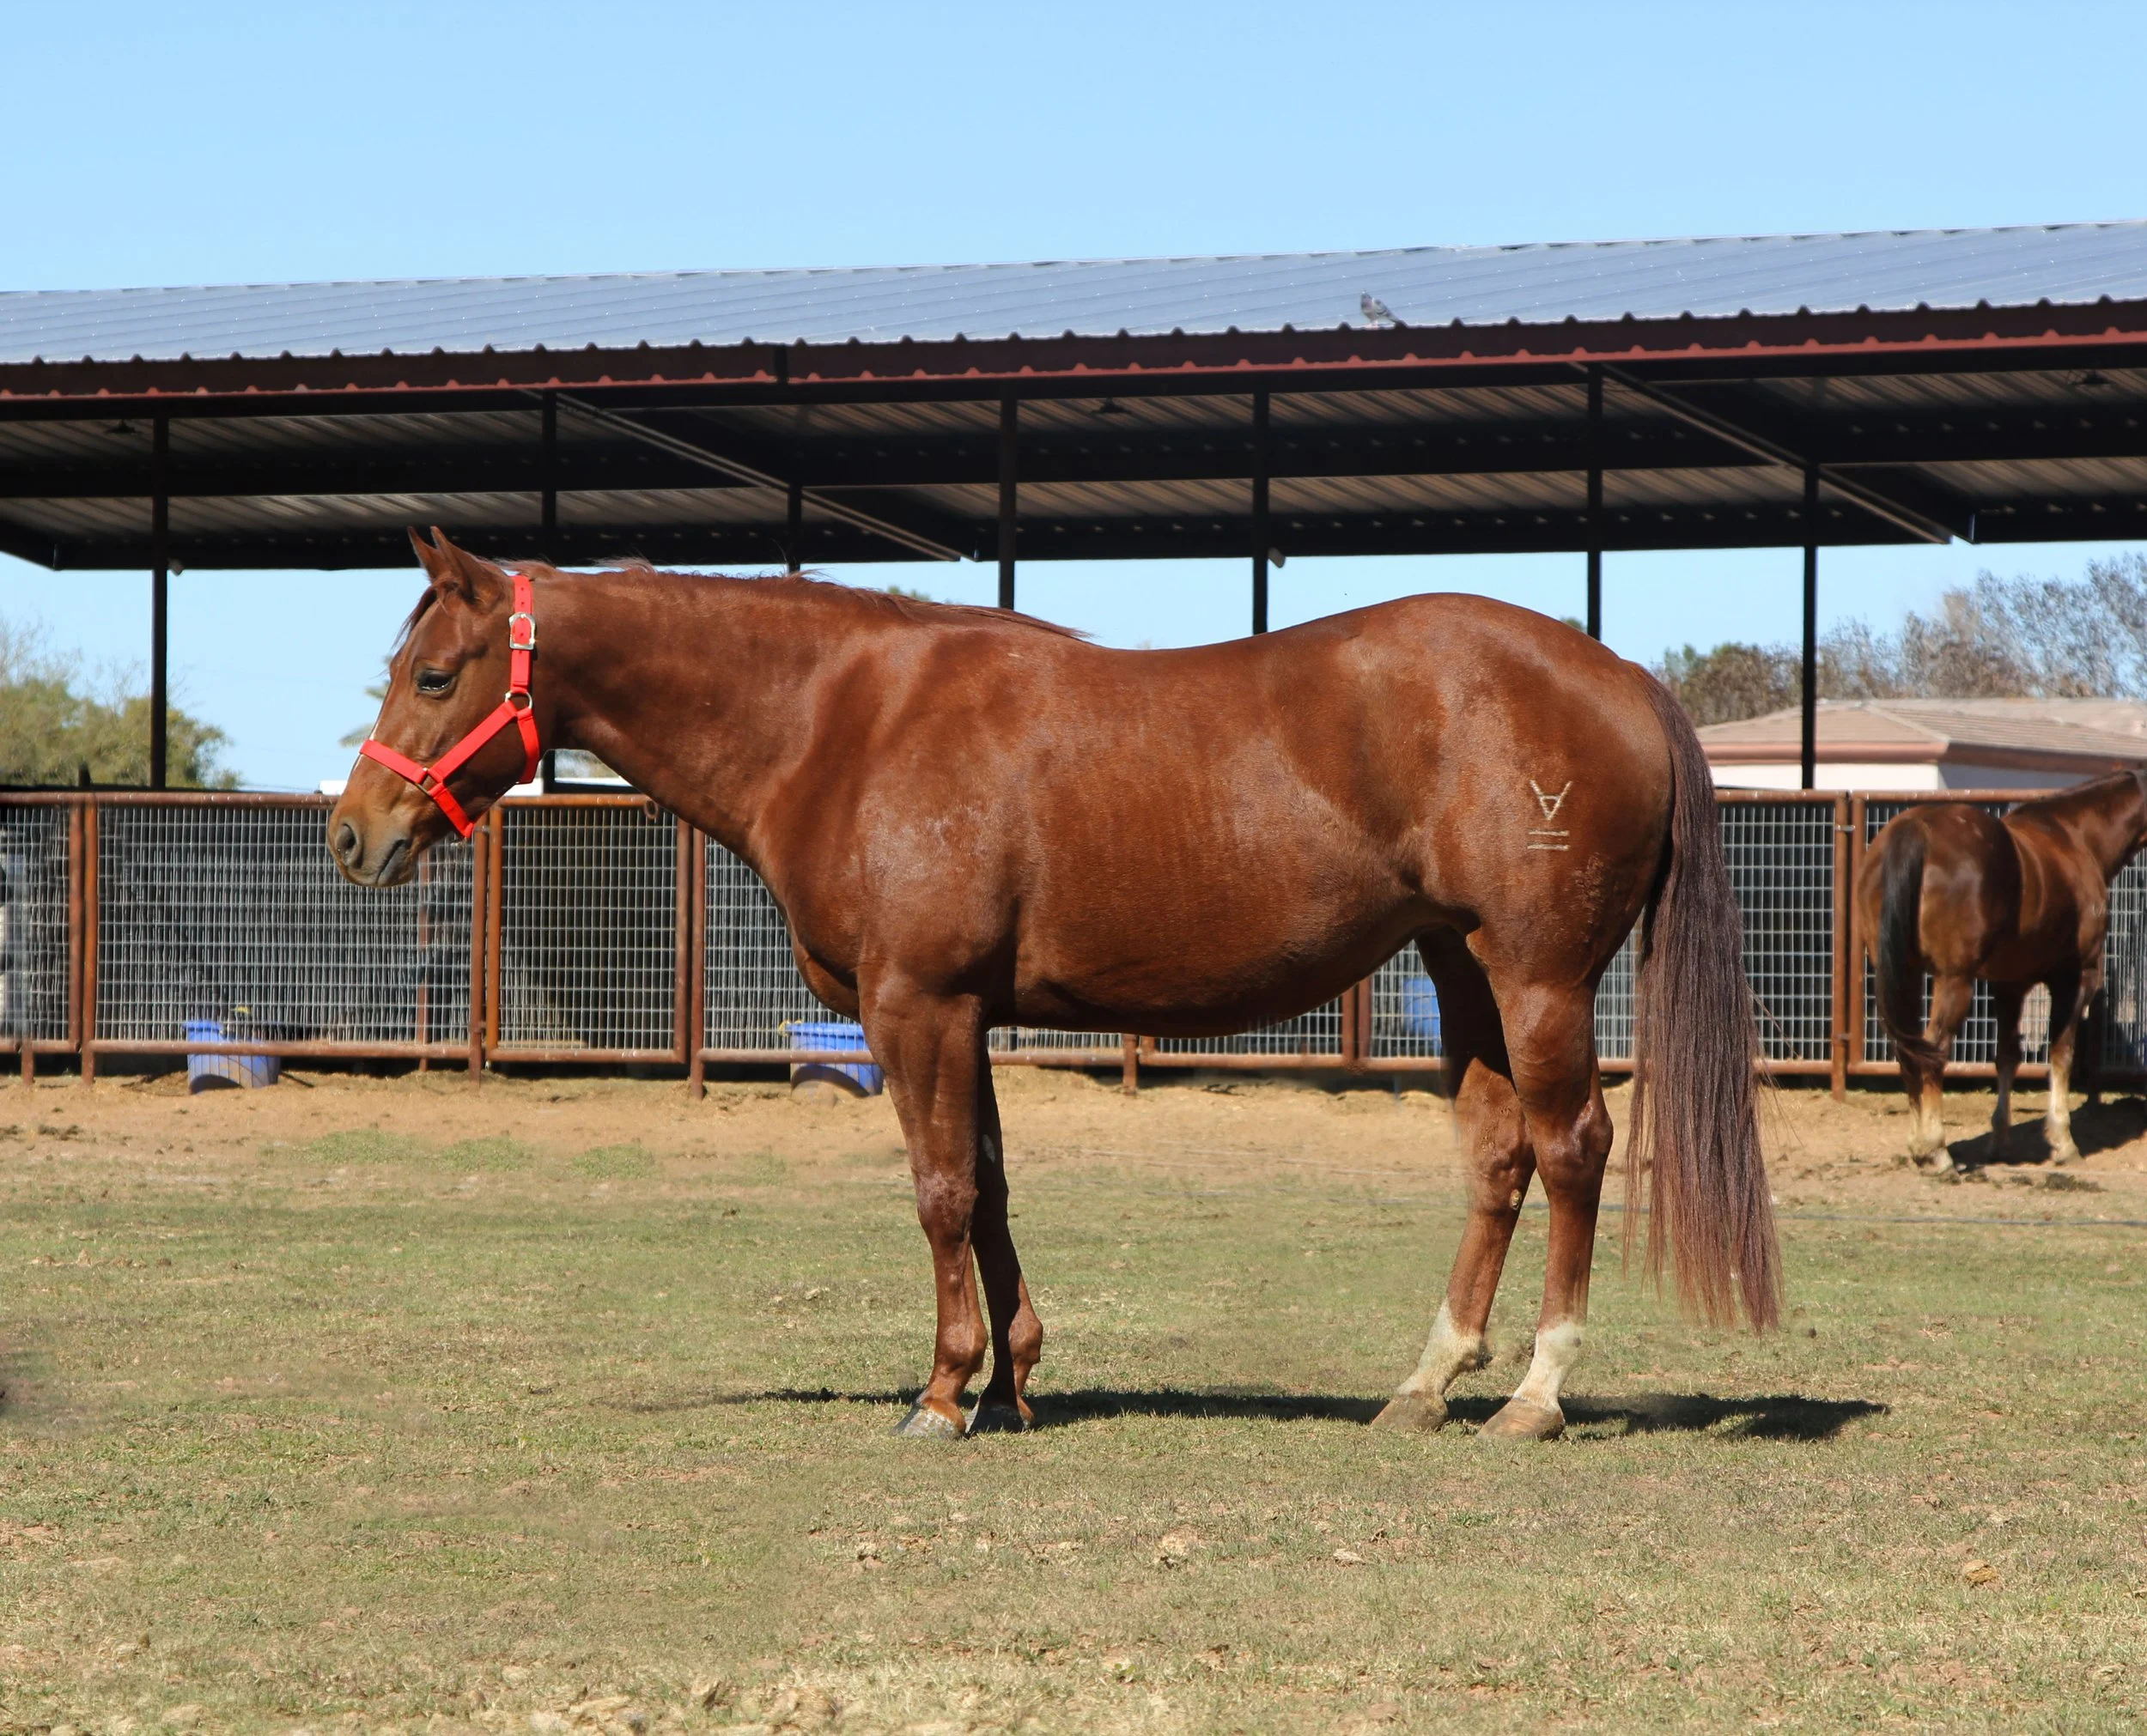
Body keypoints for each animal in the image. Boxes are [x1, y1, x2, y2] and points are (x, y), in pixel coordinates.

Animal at [329, 529, 1780, 1442]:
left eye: (436, 672)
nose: (352, 835)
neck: (841, 722)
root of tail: (1617, 674)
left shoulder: (914, 1004)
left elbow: (938, 1191)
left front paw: (940, 1392)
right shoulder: (963, 1011)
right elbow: (989, 1184)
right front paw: (1012, 1384)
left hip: (1537, 977)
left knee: (1573, 1146)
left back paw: (1536, 1393)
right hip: (1460, 969)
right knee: (1499, 1155)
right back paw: (1425, 1383)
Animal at [1856, 772, 2147, 1169]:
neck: (2075, 836)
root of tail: (1914, 829)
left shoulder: (2010, 984)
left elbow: (2007, 1056)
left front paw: (2000, 1141)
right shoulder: (2075, 977)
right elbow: (2061, 1053)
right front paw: (2063, 1141)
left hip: (1904, 973)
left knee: (1909, 1050)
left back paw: (1920, 1146)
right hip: (1954, 980)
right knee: (1934, 1049)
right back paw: (1937, 1150)